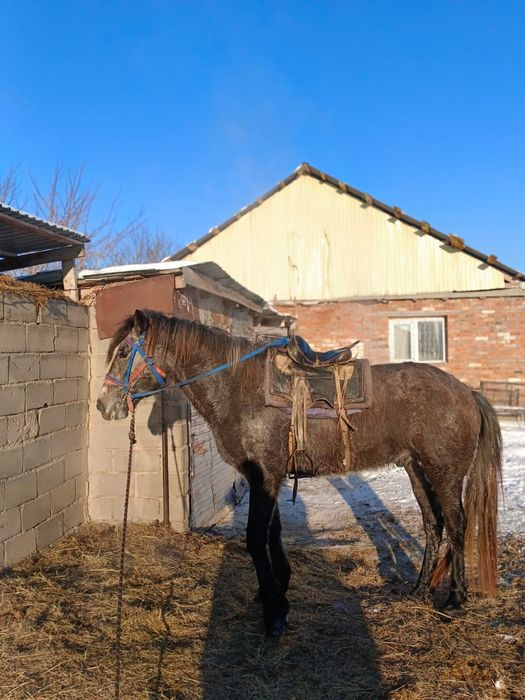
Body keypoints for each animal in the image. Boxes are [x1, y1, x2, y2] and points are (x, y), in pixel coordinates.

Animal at [97, 309, 502, 636]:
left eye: (123, 353)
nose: (103, 405)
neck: (238, 388)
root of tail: (467, 392)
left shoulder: (264, 475)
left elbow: (254, 538)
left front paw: (274, 614)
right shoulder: (269, 477)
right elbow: (273, 533)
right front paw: (278, 589)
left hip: (445, 473)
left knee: (457, 524)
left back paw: (455, 598)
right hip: (417, 469)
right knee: (434, 524)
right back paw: (419, 589)